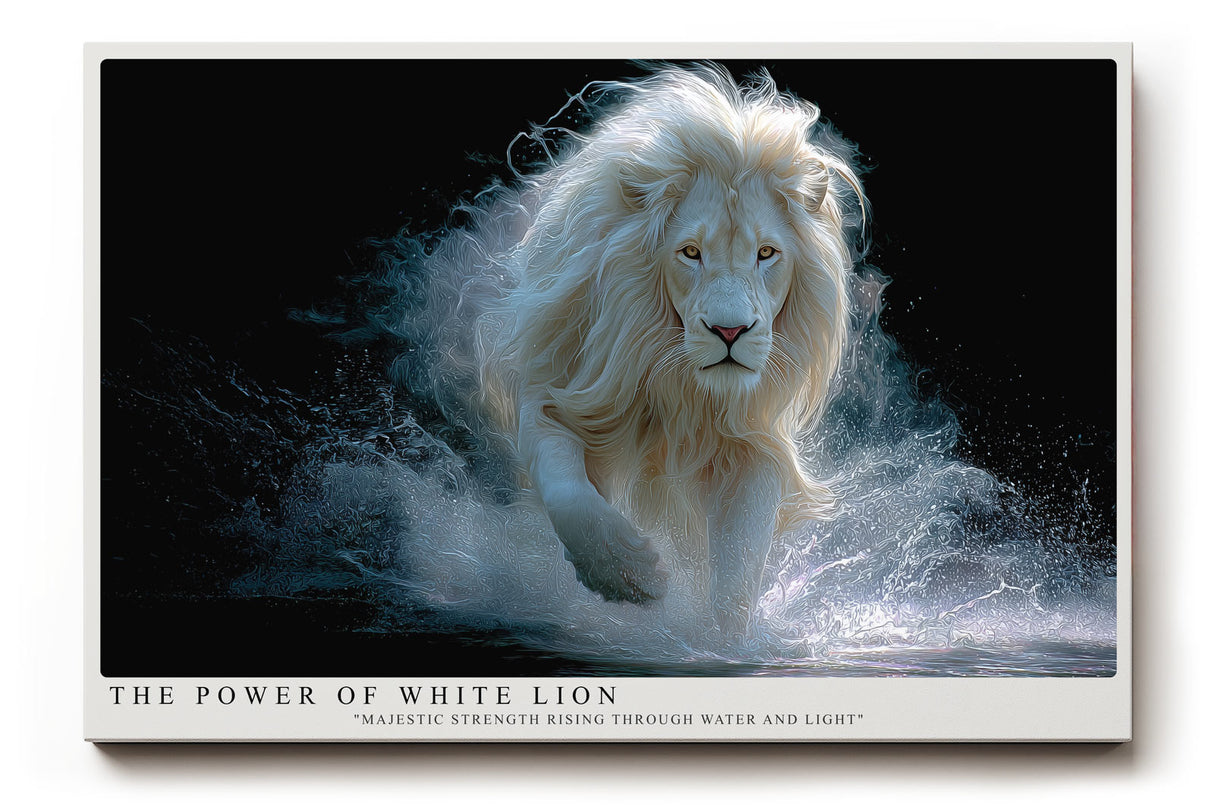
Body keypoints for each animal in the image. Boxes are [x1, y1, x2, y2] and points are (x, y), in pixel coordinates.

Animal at [474, 65, 864, 635]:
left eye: (767, 253)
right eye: (690, 252)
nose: (731, 332)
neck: (676, 381)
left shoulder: (753, 436)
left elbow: (739, 563)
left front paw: (726, 638)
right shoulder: (555, 393)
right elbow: (569, 495)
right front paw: (629, 574)